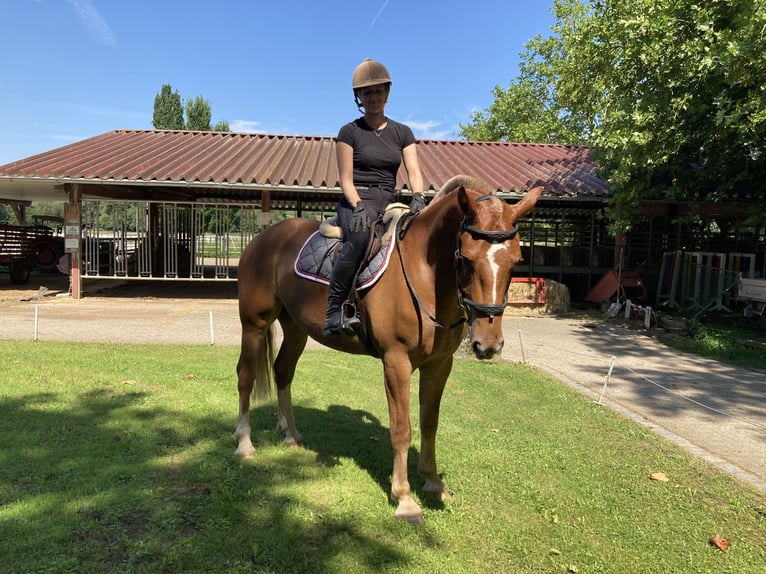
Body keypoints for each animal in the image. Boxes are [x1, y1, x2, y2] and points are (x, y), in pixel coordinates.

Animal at [237, 176, 544, 528]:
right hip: (254, 323)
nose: (488, 345)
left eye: (516, 260)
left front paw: (434, 483)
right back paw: (244, 444)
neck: (423, 273)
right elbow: (401, 429)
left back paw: (291, 435)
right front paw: (405, 499)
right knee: (246, 377)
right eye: (465, 259)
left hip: (296, 328)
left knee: (283, 371)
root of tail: (264, 238)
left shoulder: (440, 365)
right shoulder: (396, 362)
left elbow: (429, 422)